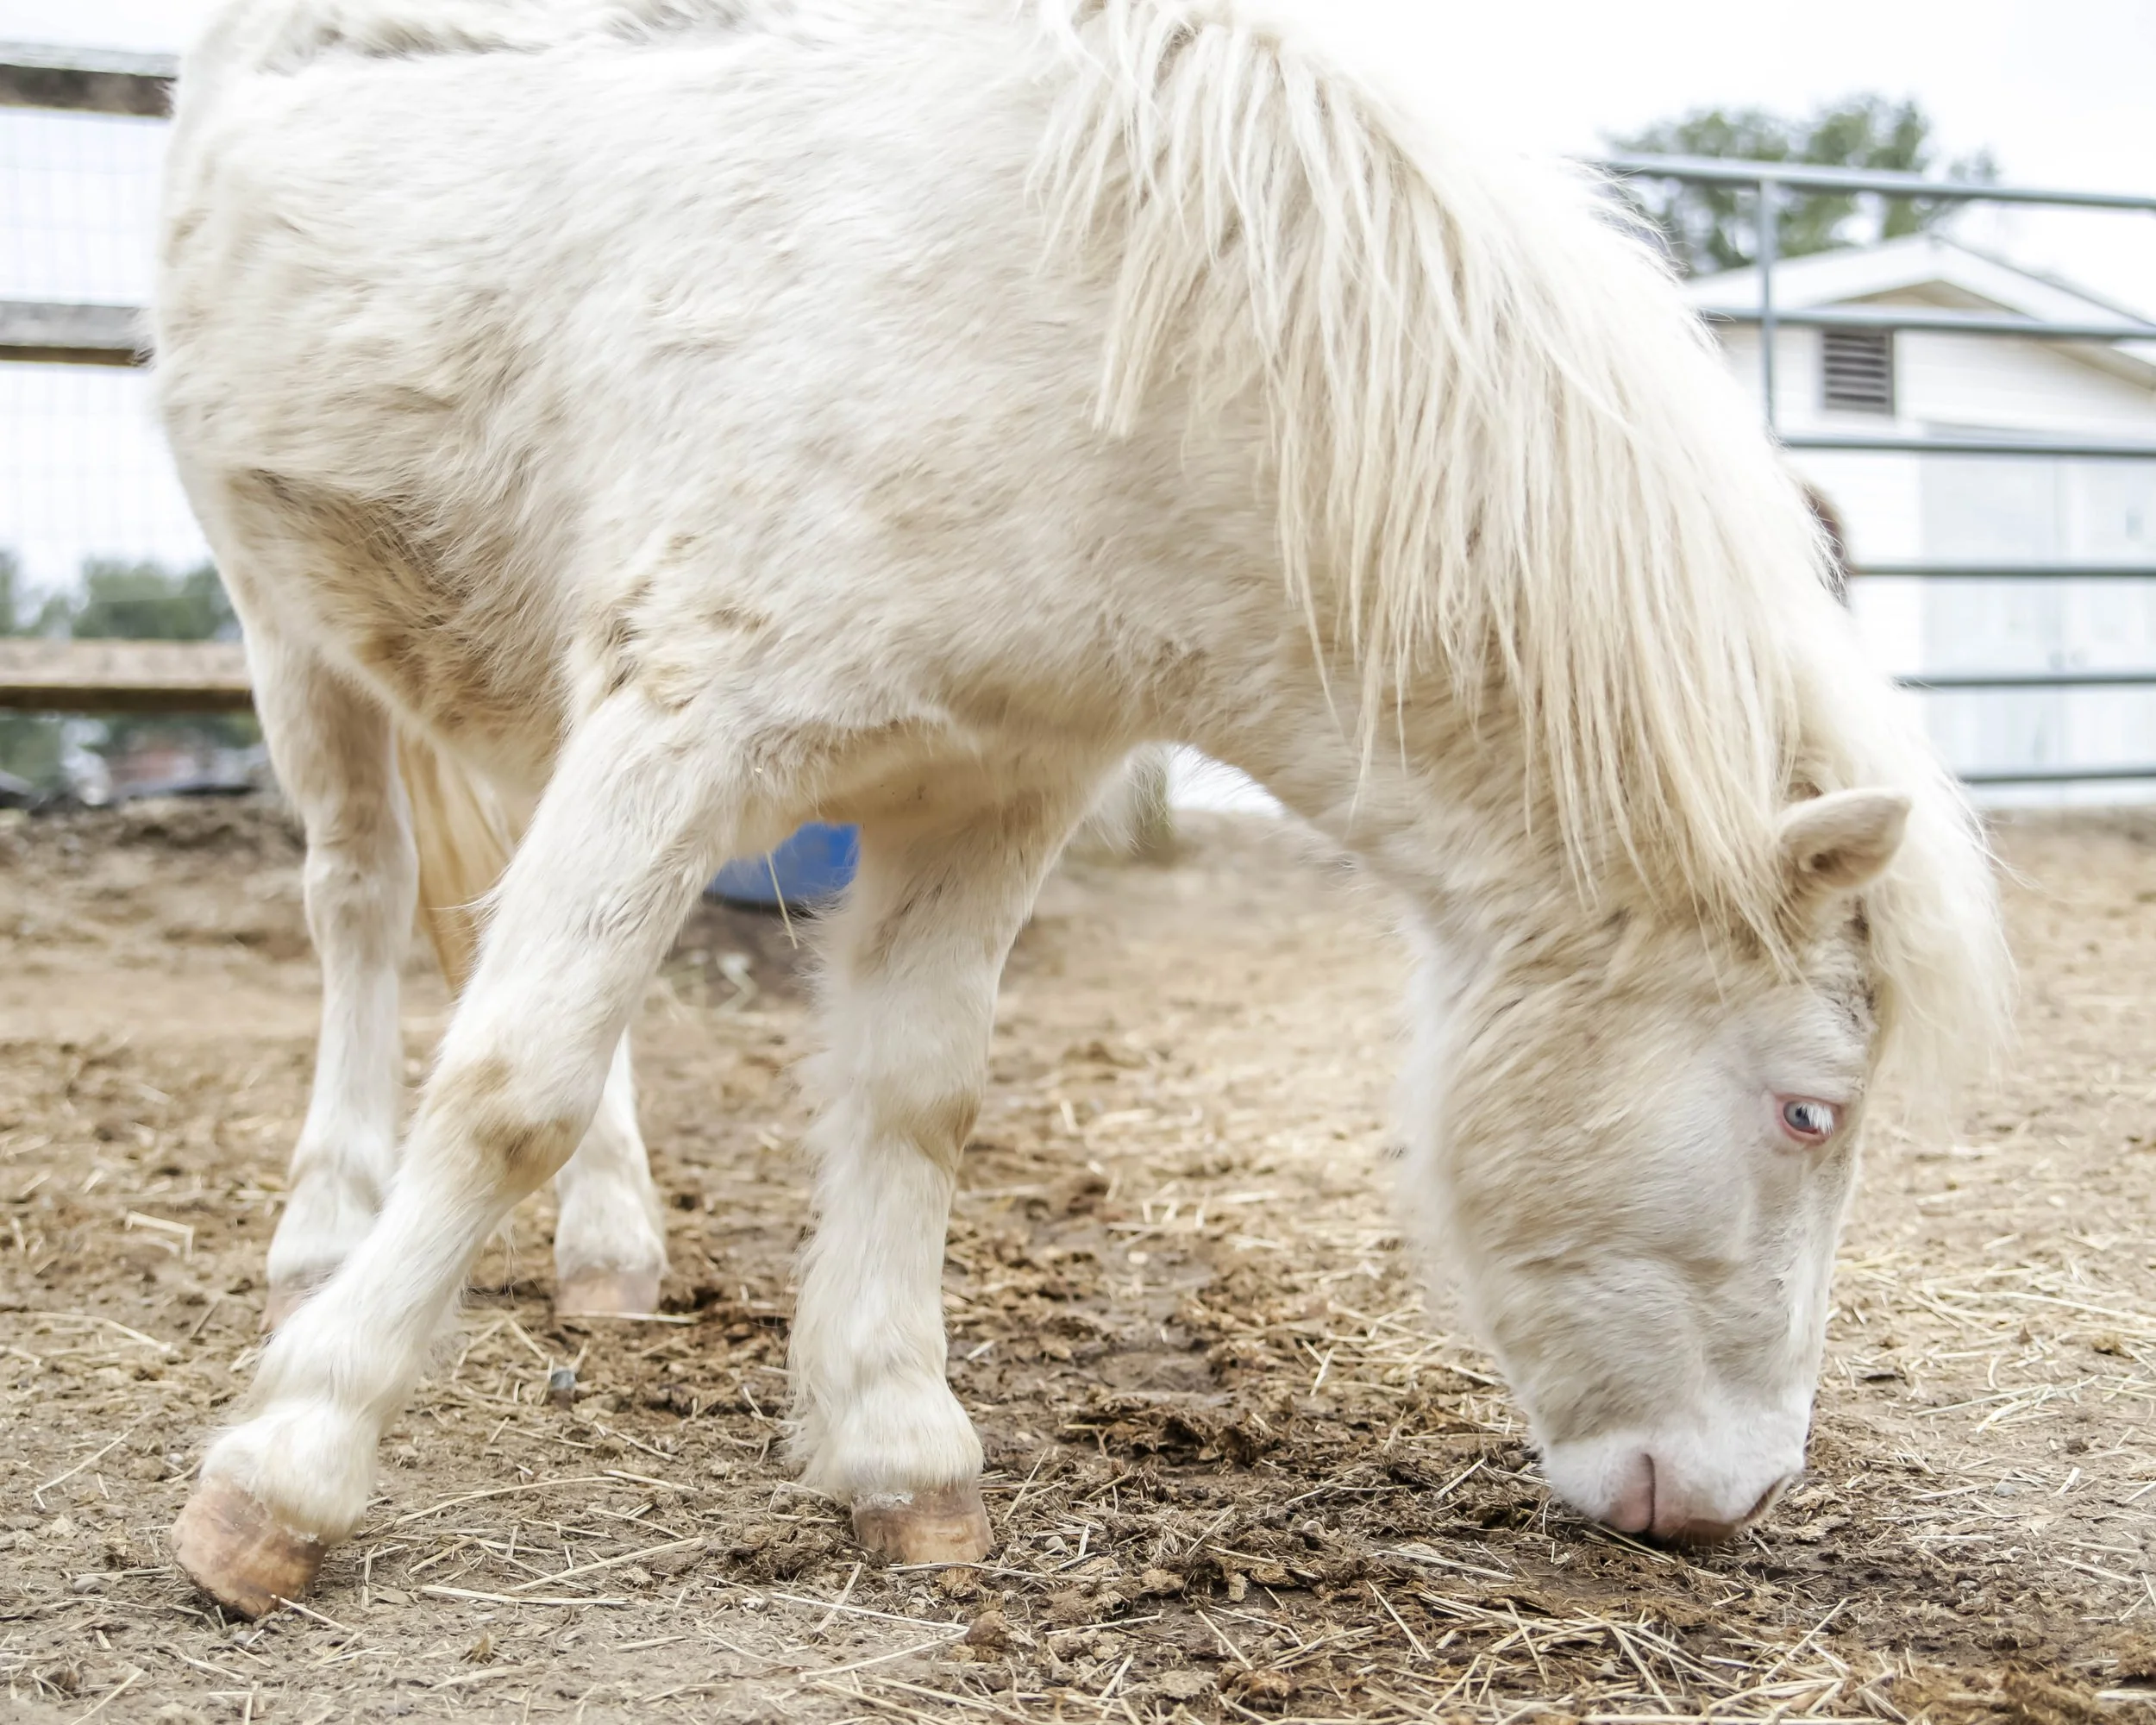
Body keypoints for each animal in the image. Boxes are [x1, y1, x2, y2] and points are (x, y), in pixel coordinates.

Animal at [154, 0, 2011, 1618]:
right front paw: (285, 1473)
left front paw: (900, 1455)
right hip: (289, 627)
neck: (1101, 328)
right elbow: (505, 1086)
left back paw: (610, 1251)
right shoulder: (683, 727)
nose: (1738, 1494)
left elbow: (916, 1095)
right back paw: (323, 1237)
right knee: (362, 903)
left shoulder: (990, 785)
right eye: (1809, 1114)